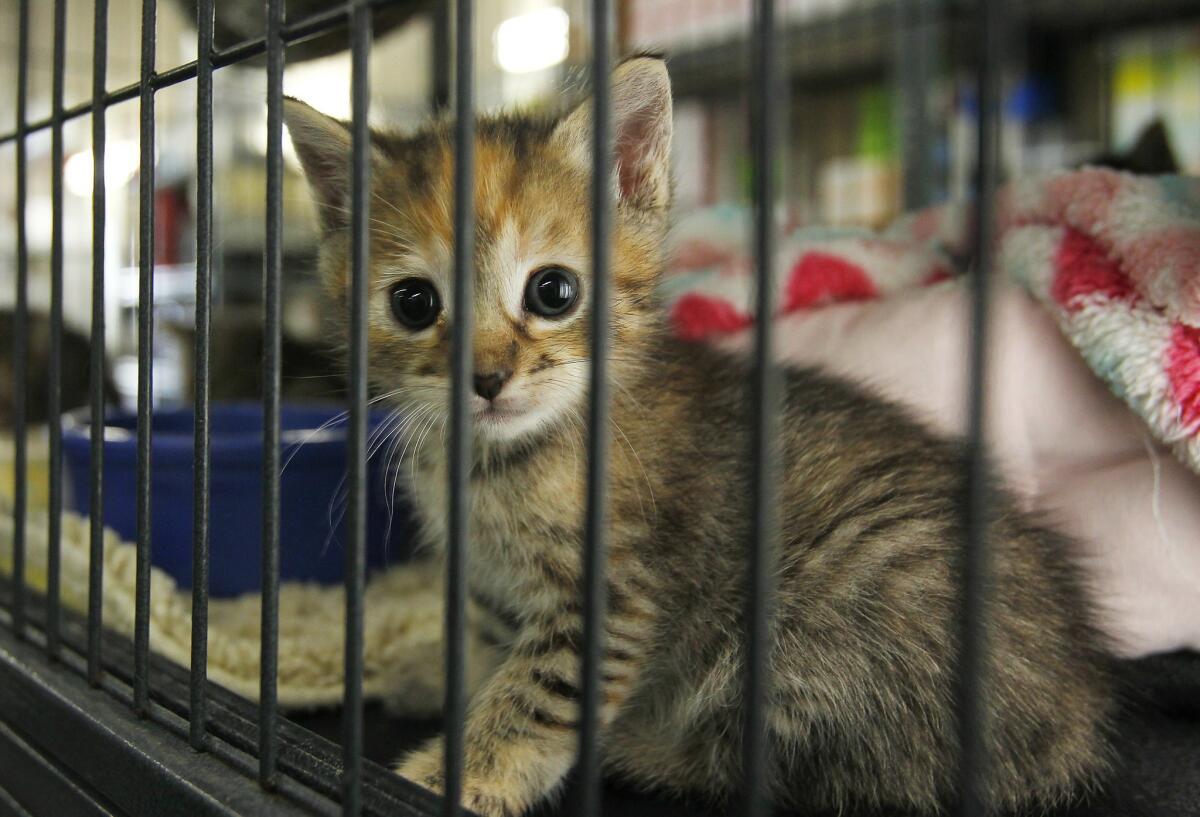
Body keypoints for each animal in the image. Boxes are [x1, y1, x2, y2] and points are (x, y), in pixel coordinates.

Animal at [283, 57, 1113, 815]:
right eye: (413, 303)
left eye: (553, 291)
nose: (486, 378)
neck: (502, 459)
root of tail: (1077, 715)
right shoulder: (494, 585)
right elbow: (486, 646)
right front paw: (437, 672)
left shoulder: (613, 592)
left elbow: (536, 693)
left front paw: (456, 772)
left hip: (820, 613)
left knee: (794, 770)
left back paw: (636, 744)